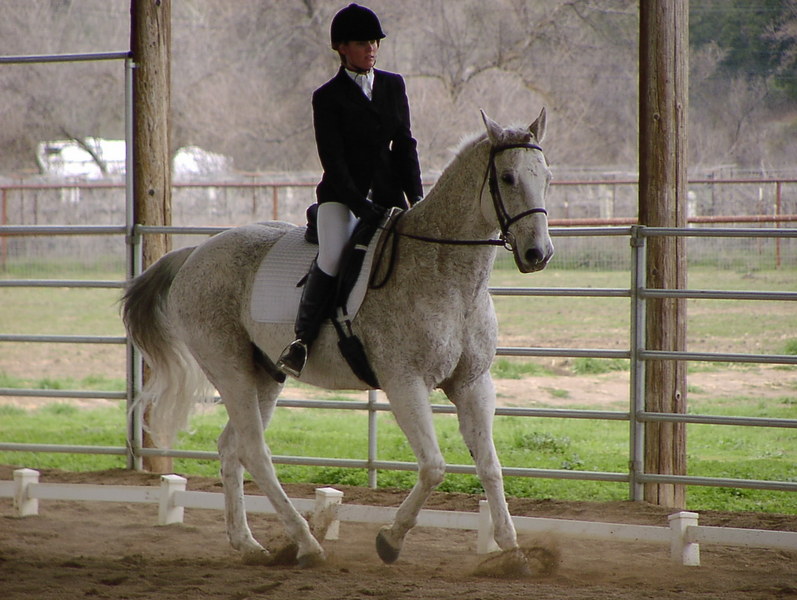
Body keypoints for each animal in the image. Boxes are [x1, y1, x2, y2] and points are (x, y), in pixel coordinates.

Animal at [122, 109, 554, 573]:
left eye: (546, 177)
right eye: (508, 177)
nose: (538, 254)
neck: (447, 276)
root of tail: (196, 253)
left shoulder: (473, 384)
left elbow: (491, 467)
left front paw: (512, 552)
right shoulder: (405, 383)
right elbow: (433, 467)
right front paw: (390, 540)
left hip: (265, 375)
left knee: (231, 448)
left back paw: (249, 544)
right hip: (228, 366)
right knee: (255, 451)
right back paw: (306, 544)